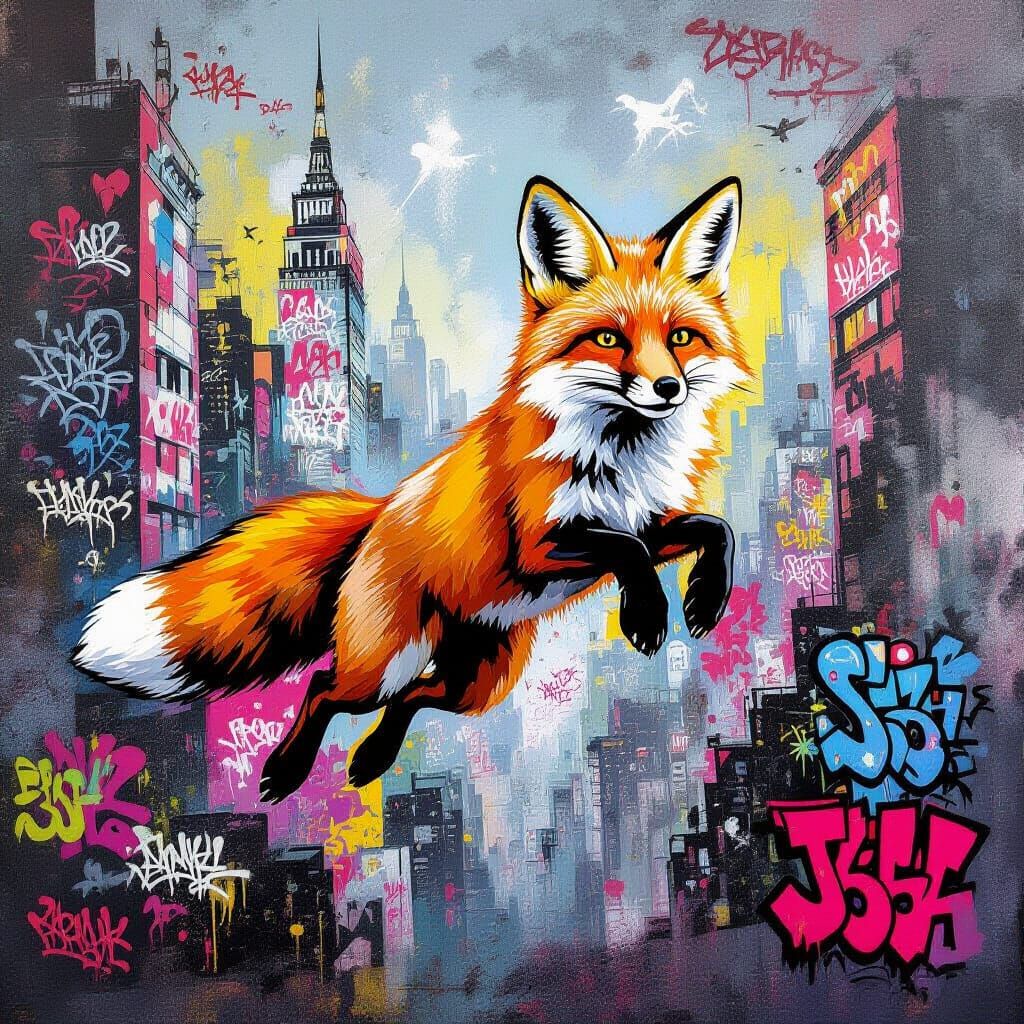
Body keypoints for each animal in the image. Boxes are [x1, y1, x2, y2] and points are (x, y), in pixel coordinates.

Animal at [73, 175, 750, 803]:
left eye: (681, 337)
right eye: (609, 339)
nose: (668, 389)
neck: (618, 456)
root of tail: (379, 510)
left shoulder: (646, 520)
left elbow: (712, 529)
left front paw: (703, 599)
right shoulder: (537, 546)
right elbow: (626, 550)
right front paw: (648, 615)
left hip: (480, 681)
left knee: (413, 698)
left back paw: (371, 758)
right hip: (385, 664)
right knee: (325, 688)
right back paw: (288, 768)